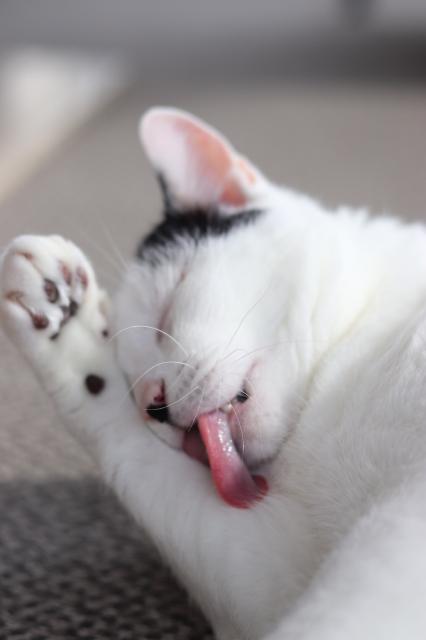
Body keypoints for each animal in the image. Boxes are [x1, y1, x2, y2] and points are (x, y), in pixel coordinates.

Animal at [0, 107, 426, 636]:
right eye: (132, 382)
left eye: (165, 315)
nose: (154, 404)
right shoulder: (270, 572)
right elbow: (122, 443)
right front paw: (62, 320)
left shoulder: (393, 539)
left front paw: (61, 307)